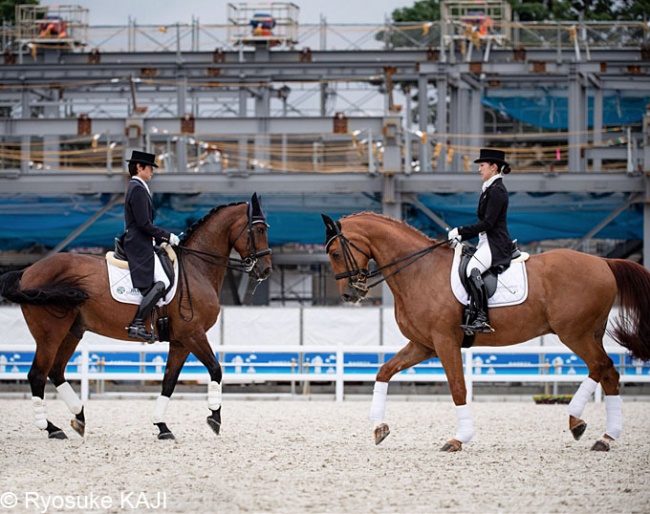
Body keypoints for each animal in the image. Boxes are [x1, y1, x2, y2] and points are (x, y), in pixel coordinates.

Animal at [0, 194, 270, 438]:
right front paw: (214, 417)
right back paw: (51, 428)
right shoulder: (193, 334)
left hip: (72, 331)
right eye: (258, 229)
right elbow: (216, 369)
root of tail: (27, 271)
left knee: (56, 371)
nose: (265, 270)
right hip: (50, 334)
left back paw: (79, 417)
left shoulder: (181, 341)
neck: (196, 267)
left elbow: (169, 381)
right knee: (37, 375)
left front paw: (162, 426)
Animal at [320, 210, 648, 450]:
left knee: (600, 366)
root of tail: (603, 261)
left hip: (574, 333)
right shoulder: (423, 345)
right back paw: (605, 437)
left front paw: (458, 439)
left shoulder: (445, 341)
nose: (350, 294)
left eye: (335, 253)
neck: (418, 270)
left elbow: (458, 387)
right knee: (609, 372)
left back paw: (576, 421)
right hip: (590, 332)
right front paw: (379, 427)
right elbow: (383, 372)